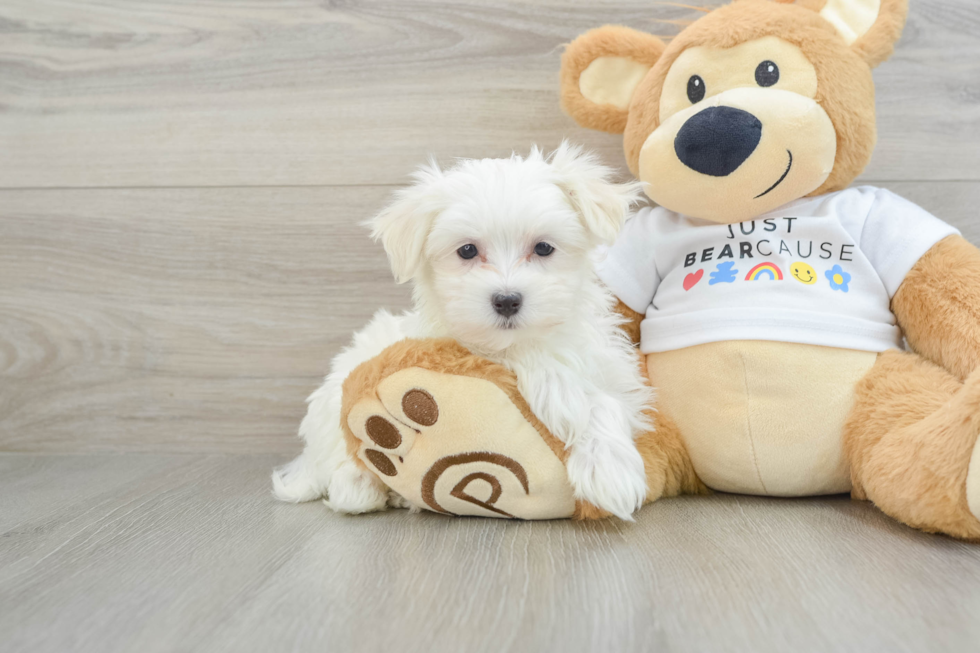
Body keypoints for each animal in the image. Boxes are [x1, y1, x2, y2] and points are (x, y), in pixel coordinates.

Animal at [270, 143, 652, 520]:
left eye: (544, 248)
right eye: (467, 250)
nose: (507, 301)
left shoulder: (613, 371)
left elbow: (608, 401)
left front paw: (609, 468)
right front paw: (565, 398)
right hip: (336, 397)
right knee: (336, 460)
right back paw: (360, 485)